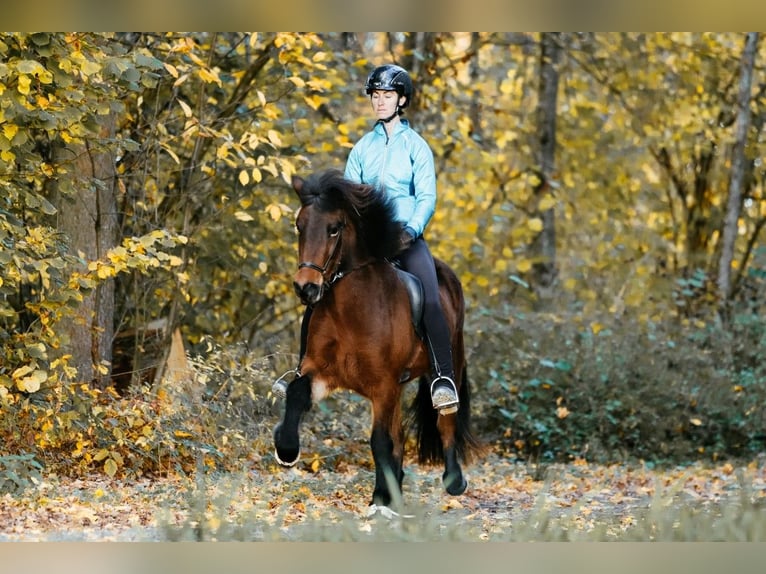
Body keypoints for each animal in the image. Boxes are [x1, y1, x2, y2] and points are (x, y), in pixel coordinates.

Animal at [273, 169, 479, 511]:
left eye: (334, 229)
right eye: (299, 225)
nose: (306, 288)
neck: (350, 311)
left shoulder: (383, 385)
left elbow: (380, 441)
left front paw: (382, 500)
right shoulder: (321, 371)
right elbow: (297, 394)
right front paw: (286, 448)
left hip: (447, 362)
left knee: (444, 418)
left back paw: (453, 480)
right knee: (399, 435)